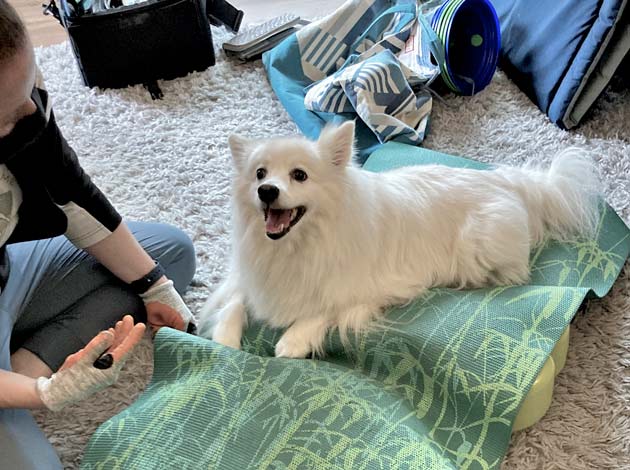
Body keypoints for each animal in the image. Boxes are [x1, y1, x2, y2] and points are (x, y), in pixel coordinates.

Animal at [201, 122, 596, 360]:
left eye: (299, 175)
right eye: (260, 174)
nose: (267, 191)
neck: (296, 245)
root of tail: (507, 180)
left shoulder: (365, 287)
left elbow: (325, 306)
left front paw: (293, 342)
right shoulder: (247, 275)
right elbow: (234, 301)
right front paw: (224, 339)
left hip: (479, 247)